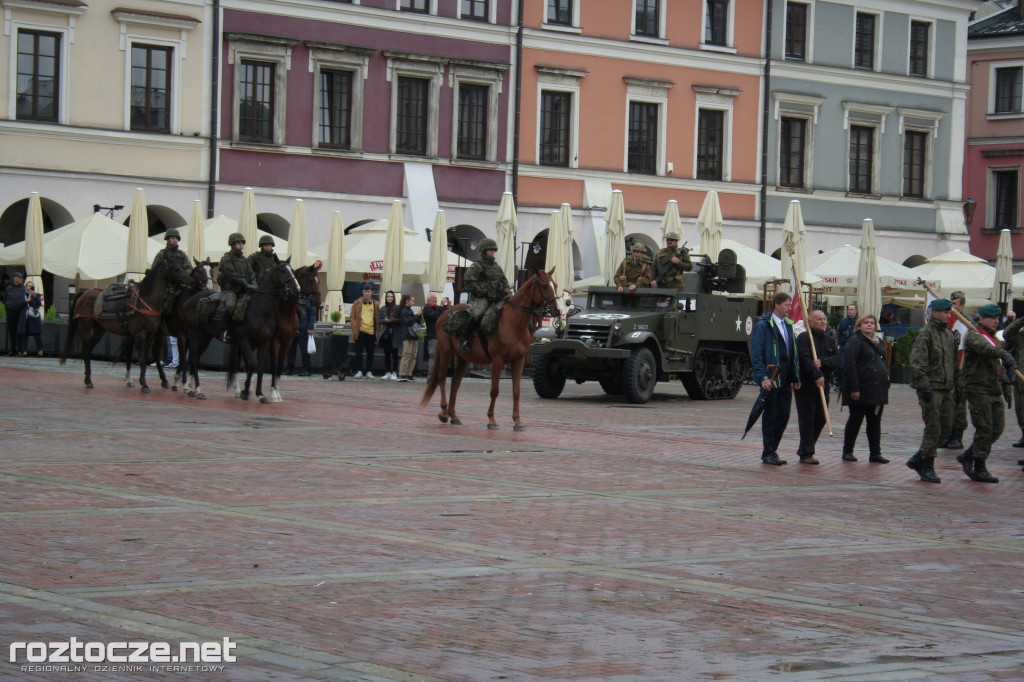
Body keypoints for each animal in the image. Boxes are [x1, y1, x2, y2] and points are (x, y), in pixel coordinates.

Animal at [60, 253, 193, 393]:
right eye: (176, 269)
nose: (190, 281)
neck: (146, 301)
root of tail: (84, 293)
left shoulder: (150, 334)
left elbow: (145, 357)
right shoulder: (140, 335)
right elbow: (142, 359)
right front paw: (144, 384)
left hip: (99, 330)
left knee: (89, 349)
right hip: (86, 327)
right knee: (86, 351)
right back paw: (89, 380)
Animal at [417, 266, 561, 430]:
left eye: (555, 285)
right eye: (544, 286)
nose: (558, 310)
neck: (513, 323)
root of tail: (445, 313)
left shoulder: (519, 360)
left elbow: (516, 391)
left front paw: (517, 421)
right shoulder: (498, 361)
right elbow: (494, 391)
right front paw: (491, 419)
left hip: (463, 359)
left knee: (455, 383)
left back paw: (454, 416)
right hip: (446, 351)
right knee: (442, 379)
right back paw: (443, 412)